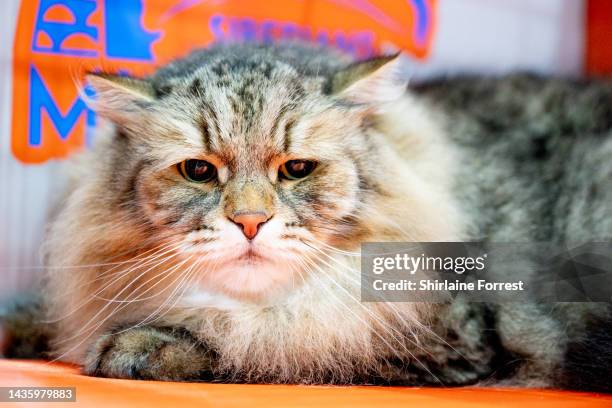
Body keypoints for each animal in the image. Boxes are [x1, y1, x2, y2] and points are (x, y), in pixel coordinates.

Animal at [3, 42, 612, 392]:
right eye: (199, 171)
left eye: (296, 169)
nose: (250, 221)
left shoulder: (441, 340)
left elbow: (261, 343)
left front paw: (139, 347)